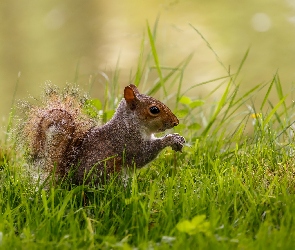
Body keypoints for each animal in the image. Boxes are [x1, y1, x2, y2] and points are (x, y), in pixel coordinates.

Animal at [22, 84, 186, 184]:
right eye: (154, 110)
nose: (176, 122)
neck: (129, 124)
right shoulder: (127, 143)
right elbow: (143, 155)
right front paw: (170, 139)